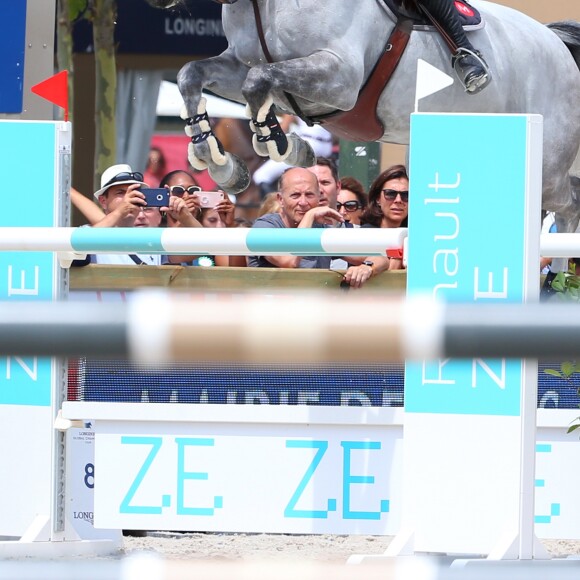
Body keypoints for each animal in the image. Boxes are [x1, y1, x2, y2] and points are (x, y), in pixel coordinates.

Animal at [145, 1, 580, 233]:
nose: (156, 6)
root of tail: (558, 44)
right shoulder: (242, 67)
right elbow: (195, 74)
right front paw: (219, 161)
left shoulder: (340, 78)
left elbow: (259, 83)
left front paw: (282, 144)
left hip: (547, 169)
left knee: (570, 203)